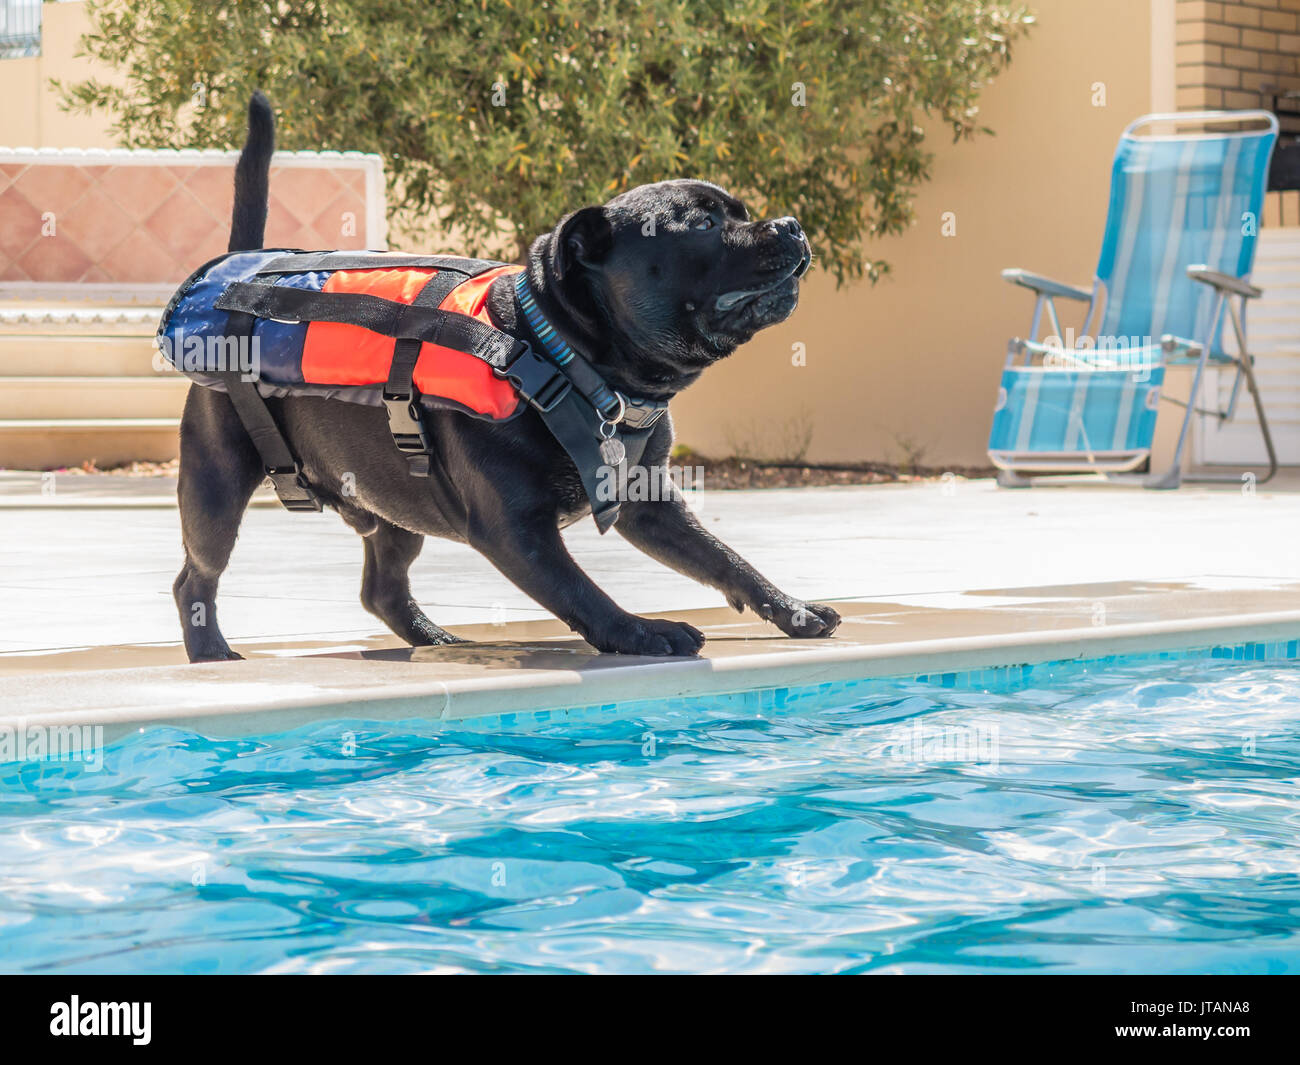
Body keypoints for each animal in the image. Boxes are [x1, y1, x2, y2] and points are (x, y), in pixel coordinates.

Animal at [175, 93, 842, 657]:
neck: (565, 356)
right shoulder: (515, 530)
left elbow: (723, 559)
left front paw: (792, 610)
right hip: (216, 488)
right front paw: (640, 632)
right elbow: (578, 589)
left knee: (382, 587)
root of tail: (239, 268)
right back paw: (213, 654)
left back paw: (434, 639)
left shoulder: (651, 504)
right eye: (702, 225)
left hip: (394, 504)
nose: (789, 224)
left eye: (743, 213)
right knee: (196, 580)